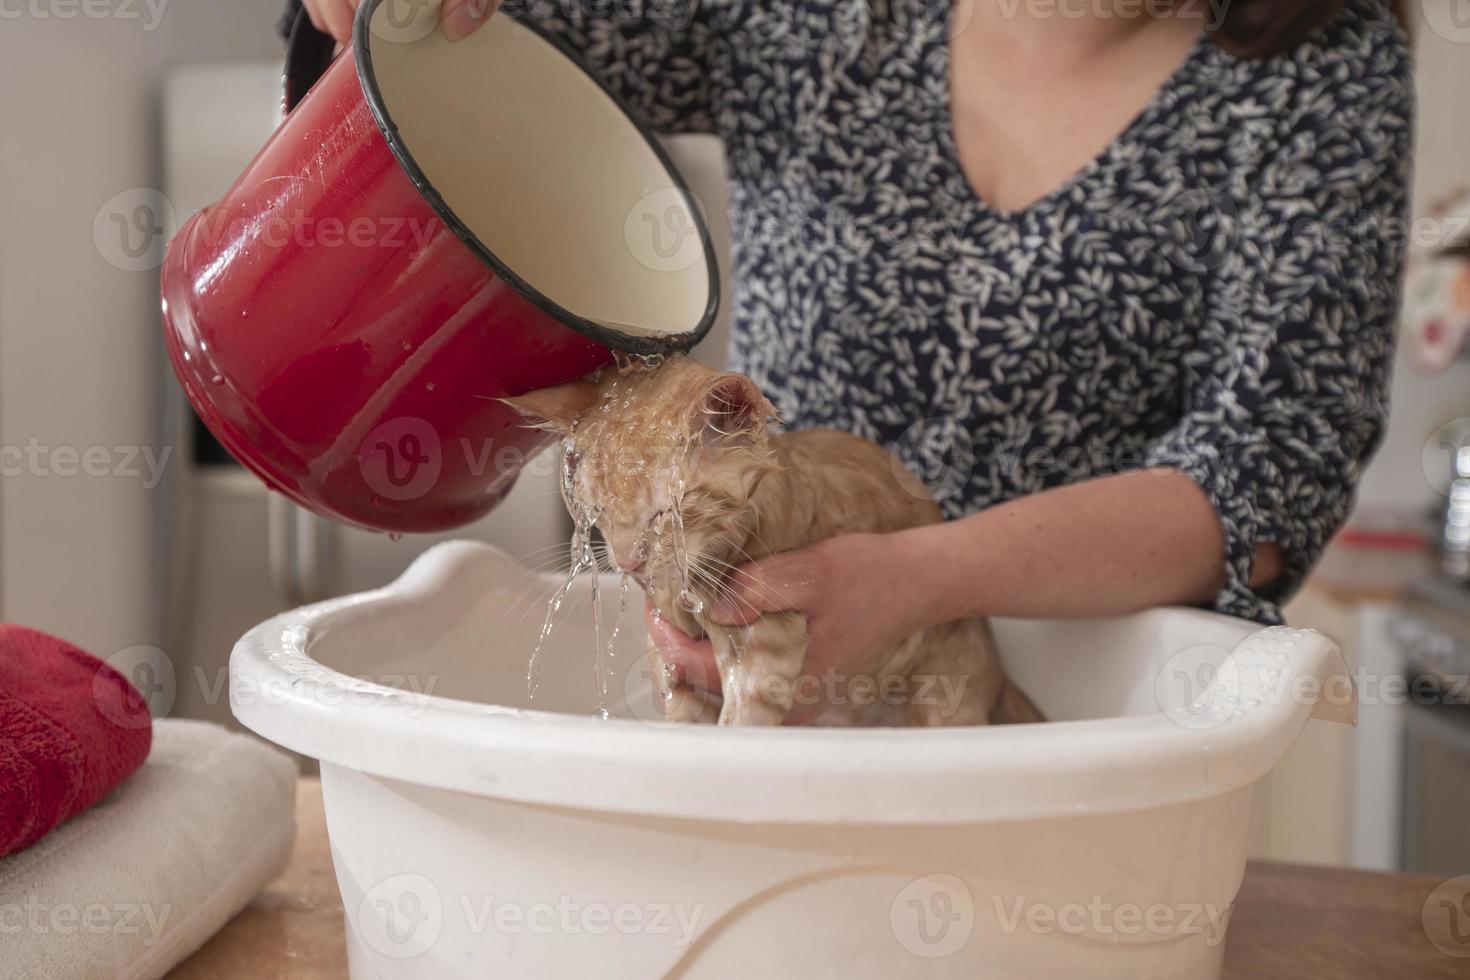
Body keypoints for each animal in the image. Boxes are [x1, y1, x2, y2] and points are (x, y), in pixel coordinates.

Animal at [511, 358, 1040, 728]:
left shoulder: (764, 650)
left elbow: (738, 724)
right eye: (596, 511)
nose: (627, 562)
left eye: (667, 514)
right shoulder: (673, 665)